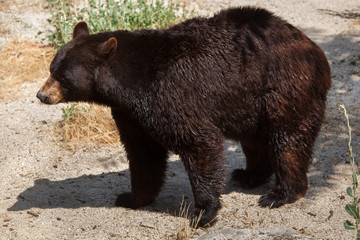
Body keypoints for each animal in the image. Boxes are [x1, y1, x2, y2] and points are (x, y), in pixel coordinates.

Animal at [37, 6, 332, 227]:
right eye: (51, 67)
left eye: (62, 76)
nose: (41, 95)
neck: (129, 84)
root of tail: (315, 50)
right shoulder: (131, 115)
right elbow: (143, 155)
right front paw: (131, 197)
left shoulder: (172, 95)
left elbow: (199, 144)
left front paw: (204, 212)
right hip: (247, 103)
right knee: (255, 141)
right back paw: (249, 175)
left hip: (282, 89)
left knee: (288, 141)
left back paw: (281, 193)